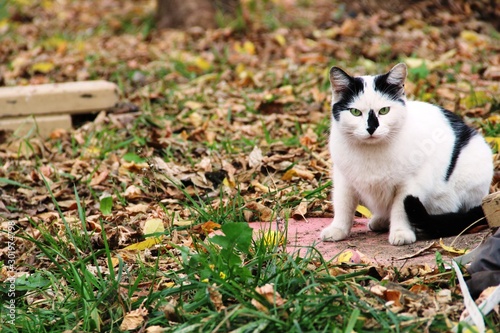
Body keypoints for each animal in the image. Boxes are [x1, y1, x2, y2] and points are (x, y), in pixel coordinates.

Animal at [320, 63, 492, 244]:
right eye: (355, 112)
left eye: (384, 110)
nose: (371, 128)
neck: (371, 151)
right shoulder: (343, 180)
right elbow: (343, 204)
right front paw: (337, 229)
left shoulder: (411, 183)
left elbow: (400, 208)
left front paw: (401, 232)